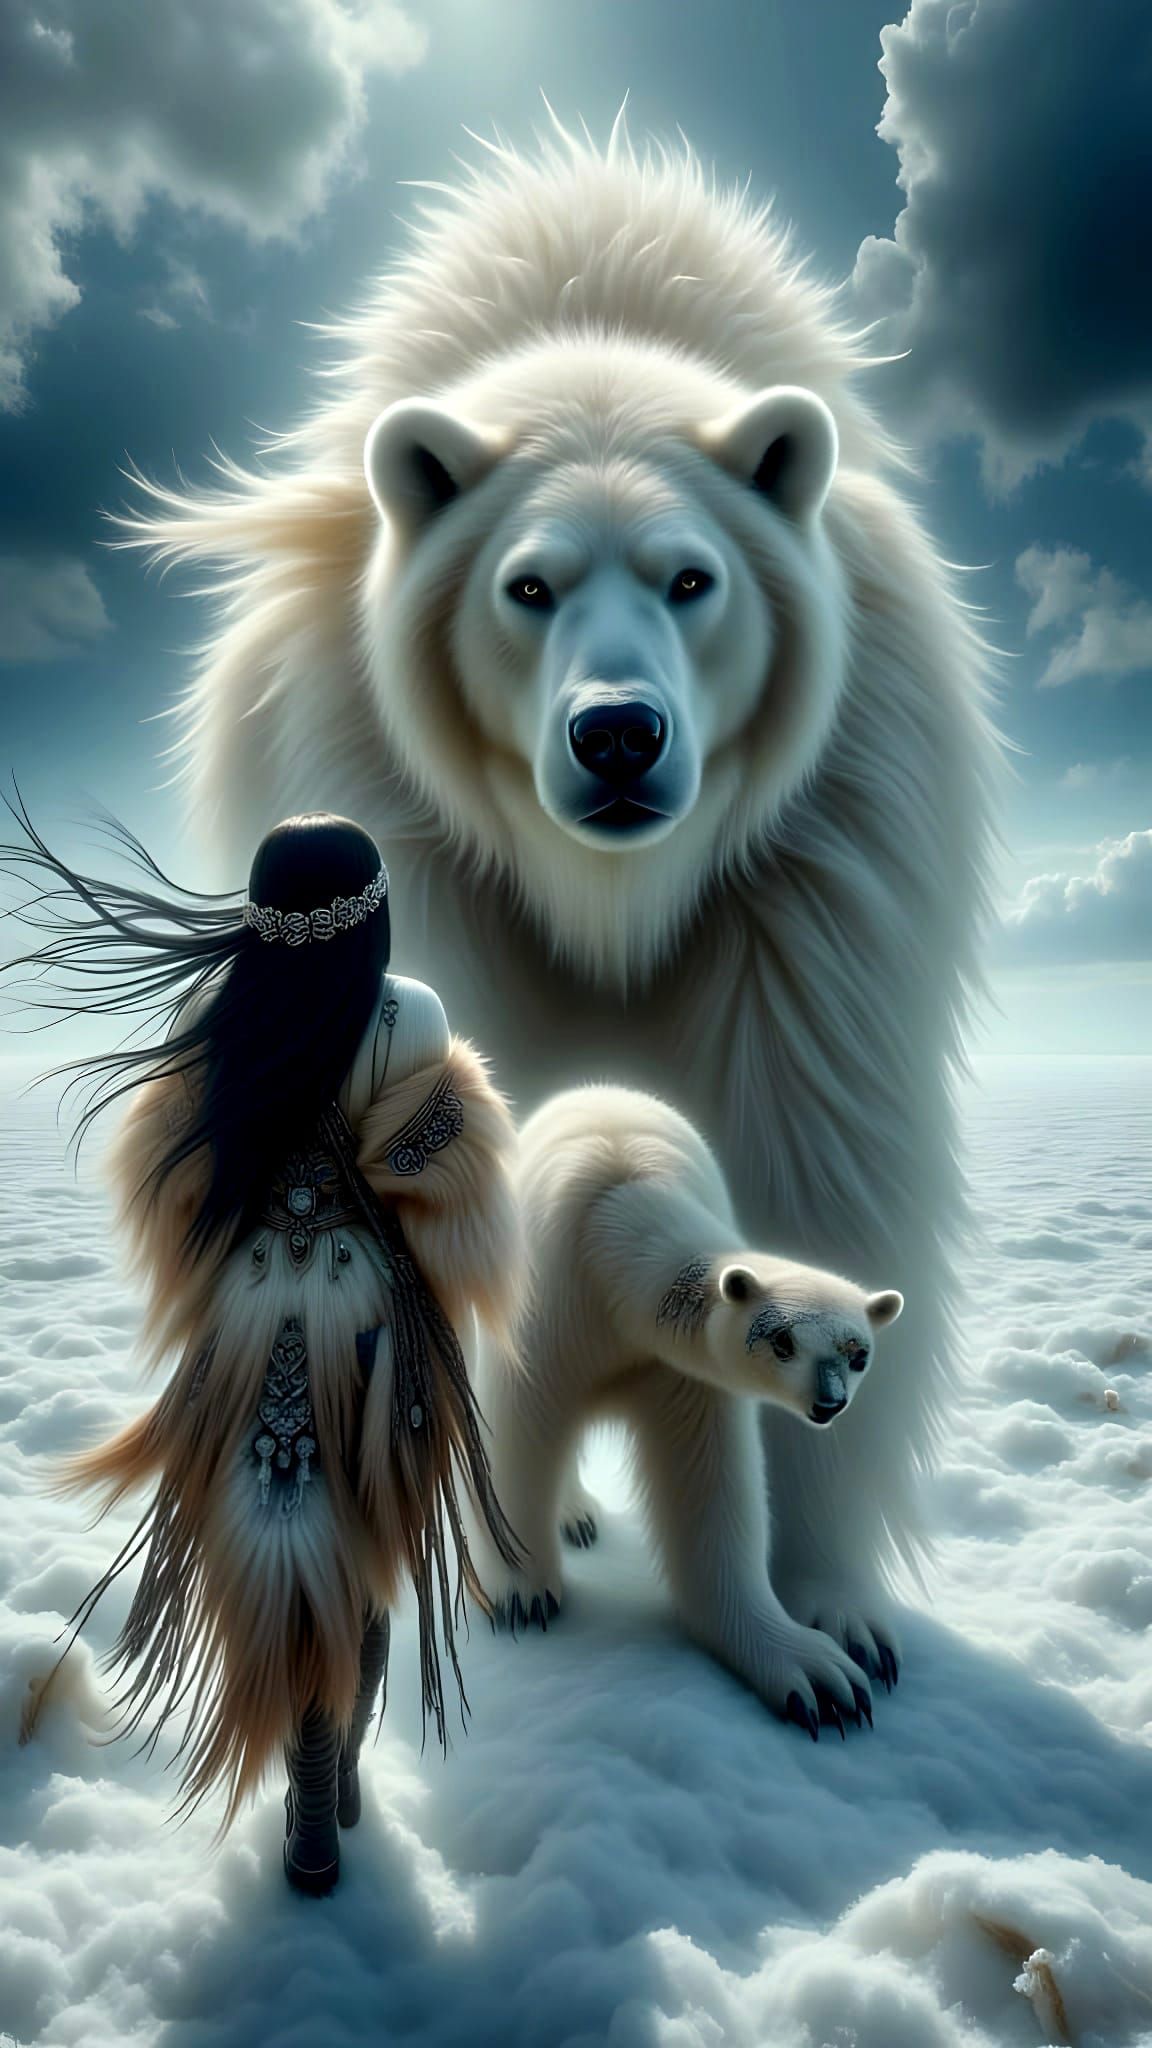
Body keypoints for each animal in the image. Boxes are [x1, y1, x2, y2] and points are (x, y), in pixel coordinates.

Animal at [467, 1086, 904, 1733]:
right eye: (783, 1342)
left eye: (859, 1354)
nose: (829, 1403)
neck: (619, 1216)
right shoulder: (551, 1310)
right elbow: (519, 1435)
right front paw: (522, 1594)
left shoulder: (681, 1373)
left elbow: (712, 1492)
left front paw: (819, 1678)